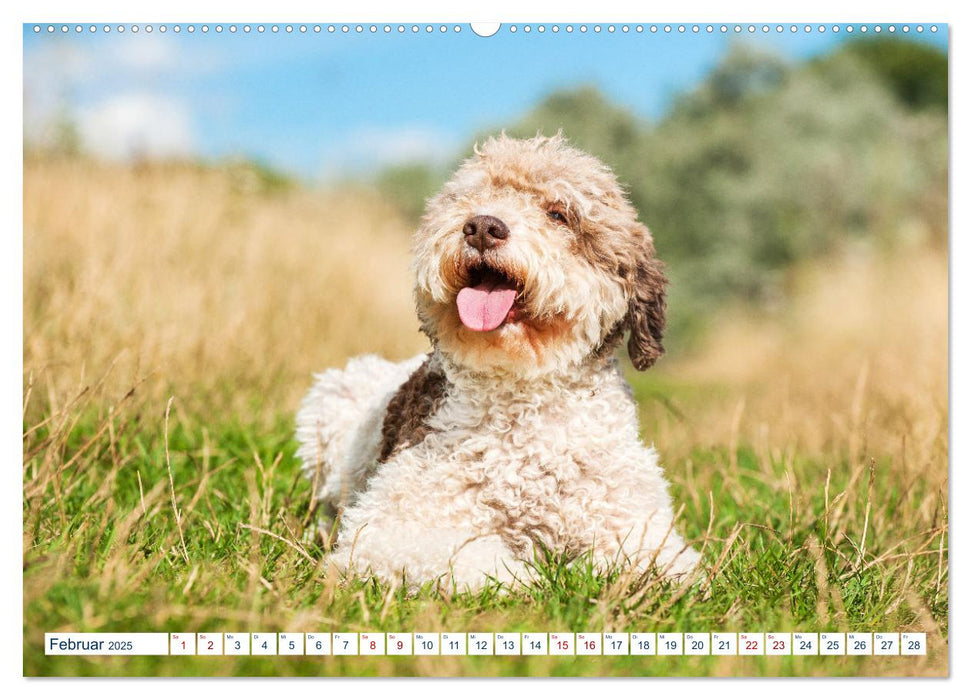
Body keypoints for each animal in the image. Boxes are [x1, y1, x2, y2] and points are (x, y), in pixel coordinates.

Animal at [294, 134, 700, 588]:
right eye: (471, 198)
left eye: (558, 213)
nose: (483, 227)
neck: (520, 399)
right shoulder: (389, 528)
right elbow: (472, 562)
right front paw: (533, 578)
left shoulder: (641, 527)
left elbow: (657, 563)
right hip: (327, 408)